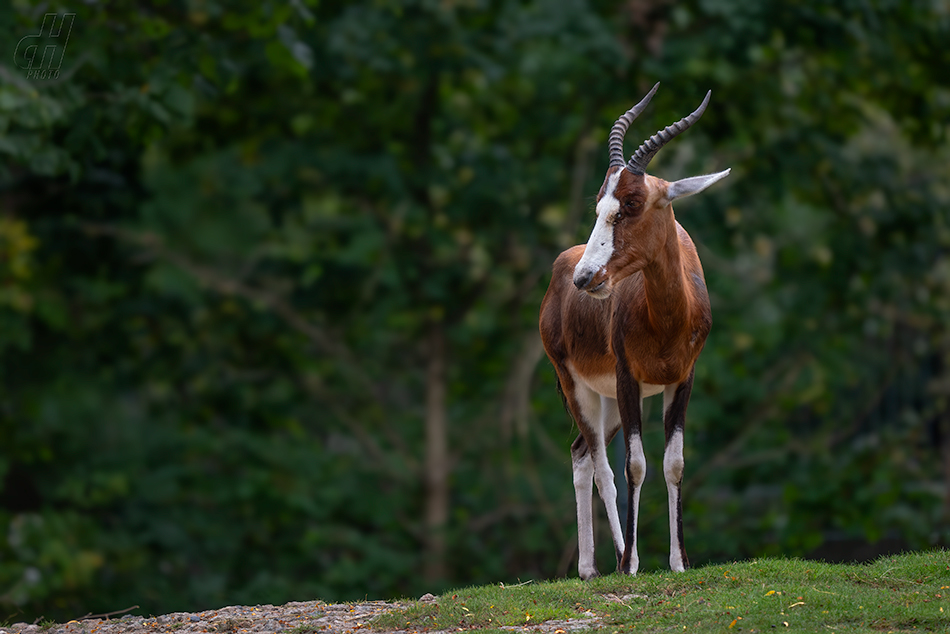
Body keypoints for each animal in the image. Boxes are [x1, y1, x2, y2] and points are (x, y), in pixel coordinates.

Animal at [540, 85, 732, 576]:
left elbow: (674, 463)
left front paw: (680, 561)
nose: (586, 278)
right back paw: (612, 559)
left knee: (580, 454)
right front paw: (631, 564)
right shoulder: (628, 379)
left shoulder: (682, 380)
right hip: (580, 388)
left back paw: (591, 566)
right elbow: (635, 466)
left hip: (607, 403)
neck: (665, 318)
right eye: (598, 206)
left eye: (630, 204)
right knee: (600, 466)